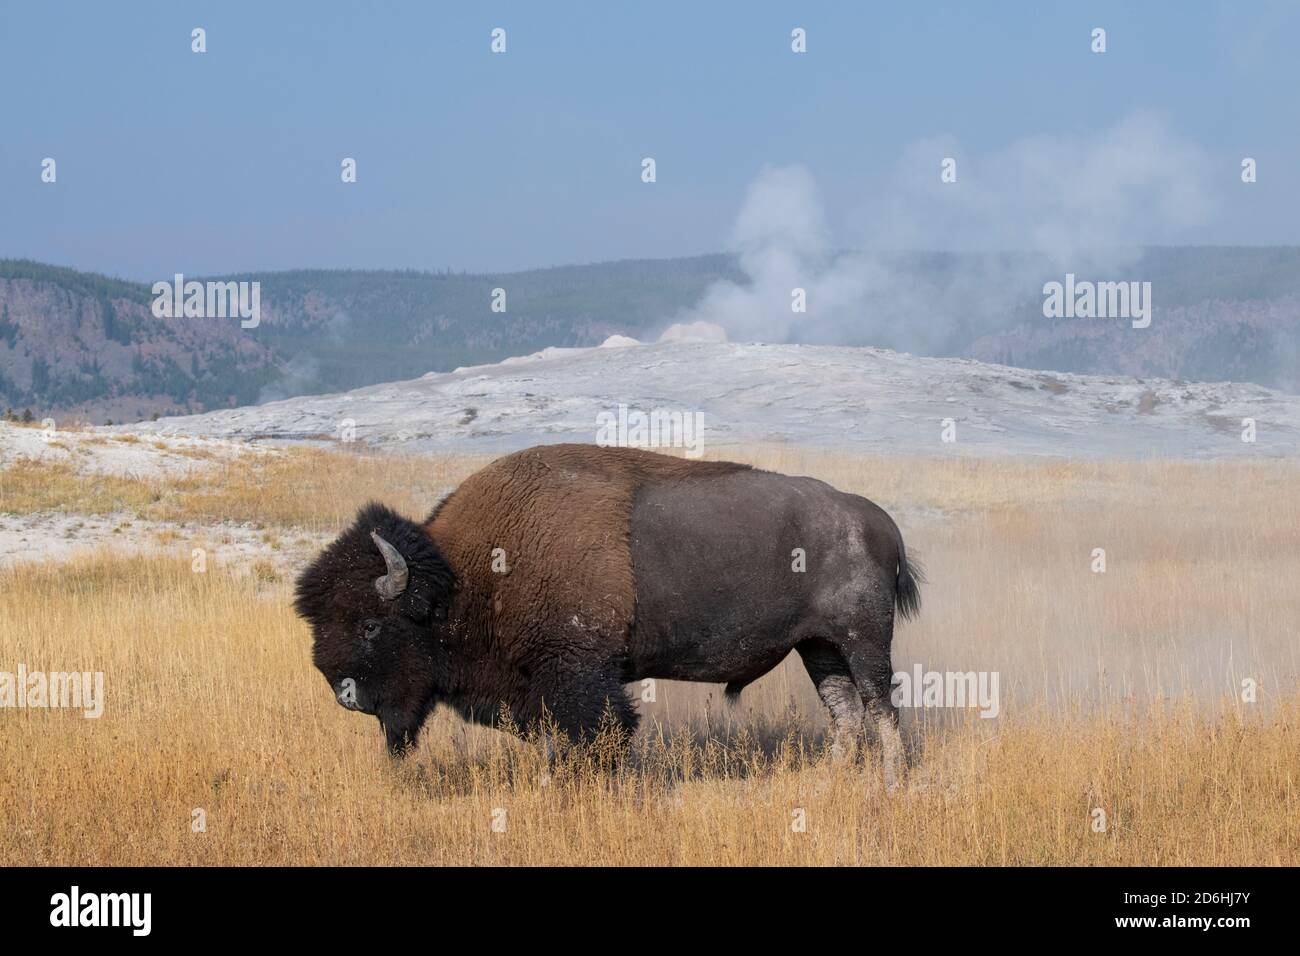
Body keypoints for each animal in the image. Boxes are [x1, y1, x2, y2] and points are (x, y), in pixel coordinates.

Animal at [294, 443, 921, 785]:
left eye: (370, 624)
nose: (343, 692)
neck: (463, 579)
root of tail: (877, 522)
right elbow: (554, 742)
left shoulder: (578, 676)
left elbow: (598, 737)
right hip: (818, 648)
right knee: (847, 715)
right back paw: (830, 781)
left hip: (863, 641)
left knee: (881, 710)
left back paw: (891, 786)